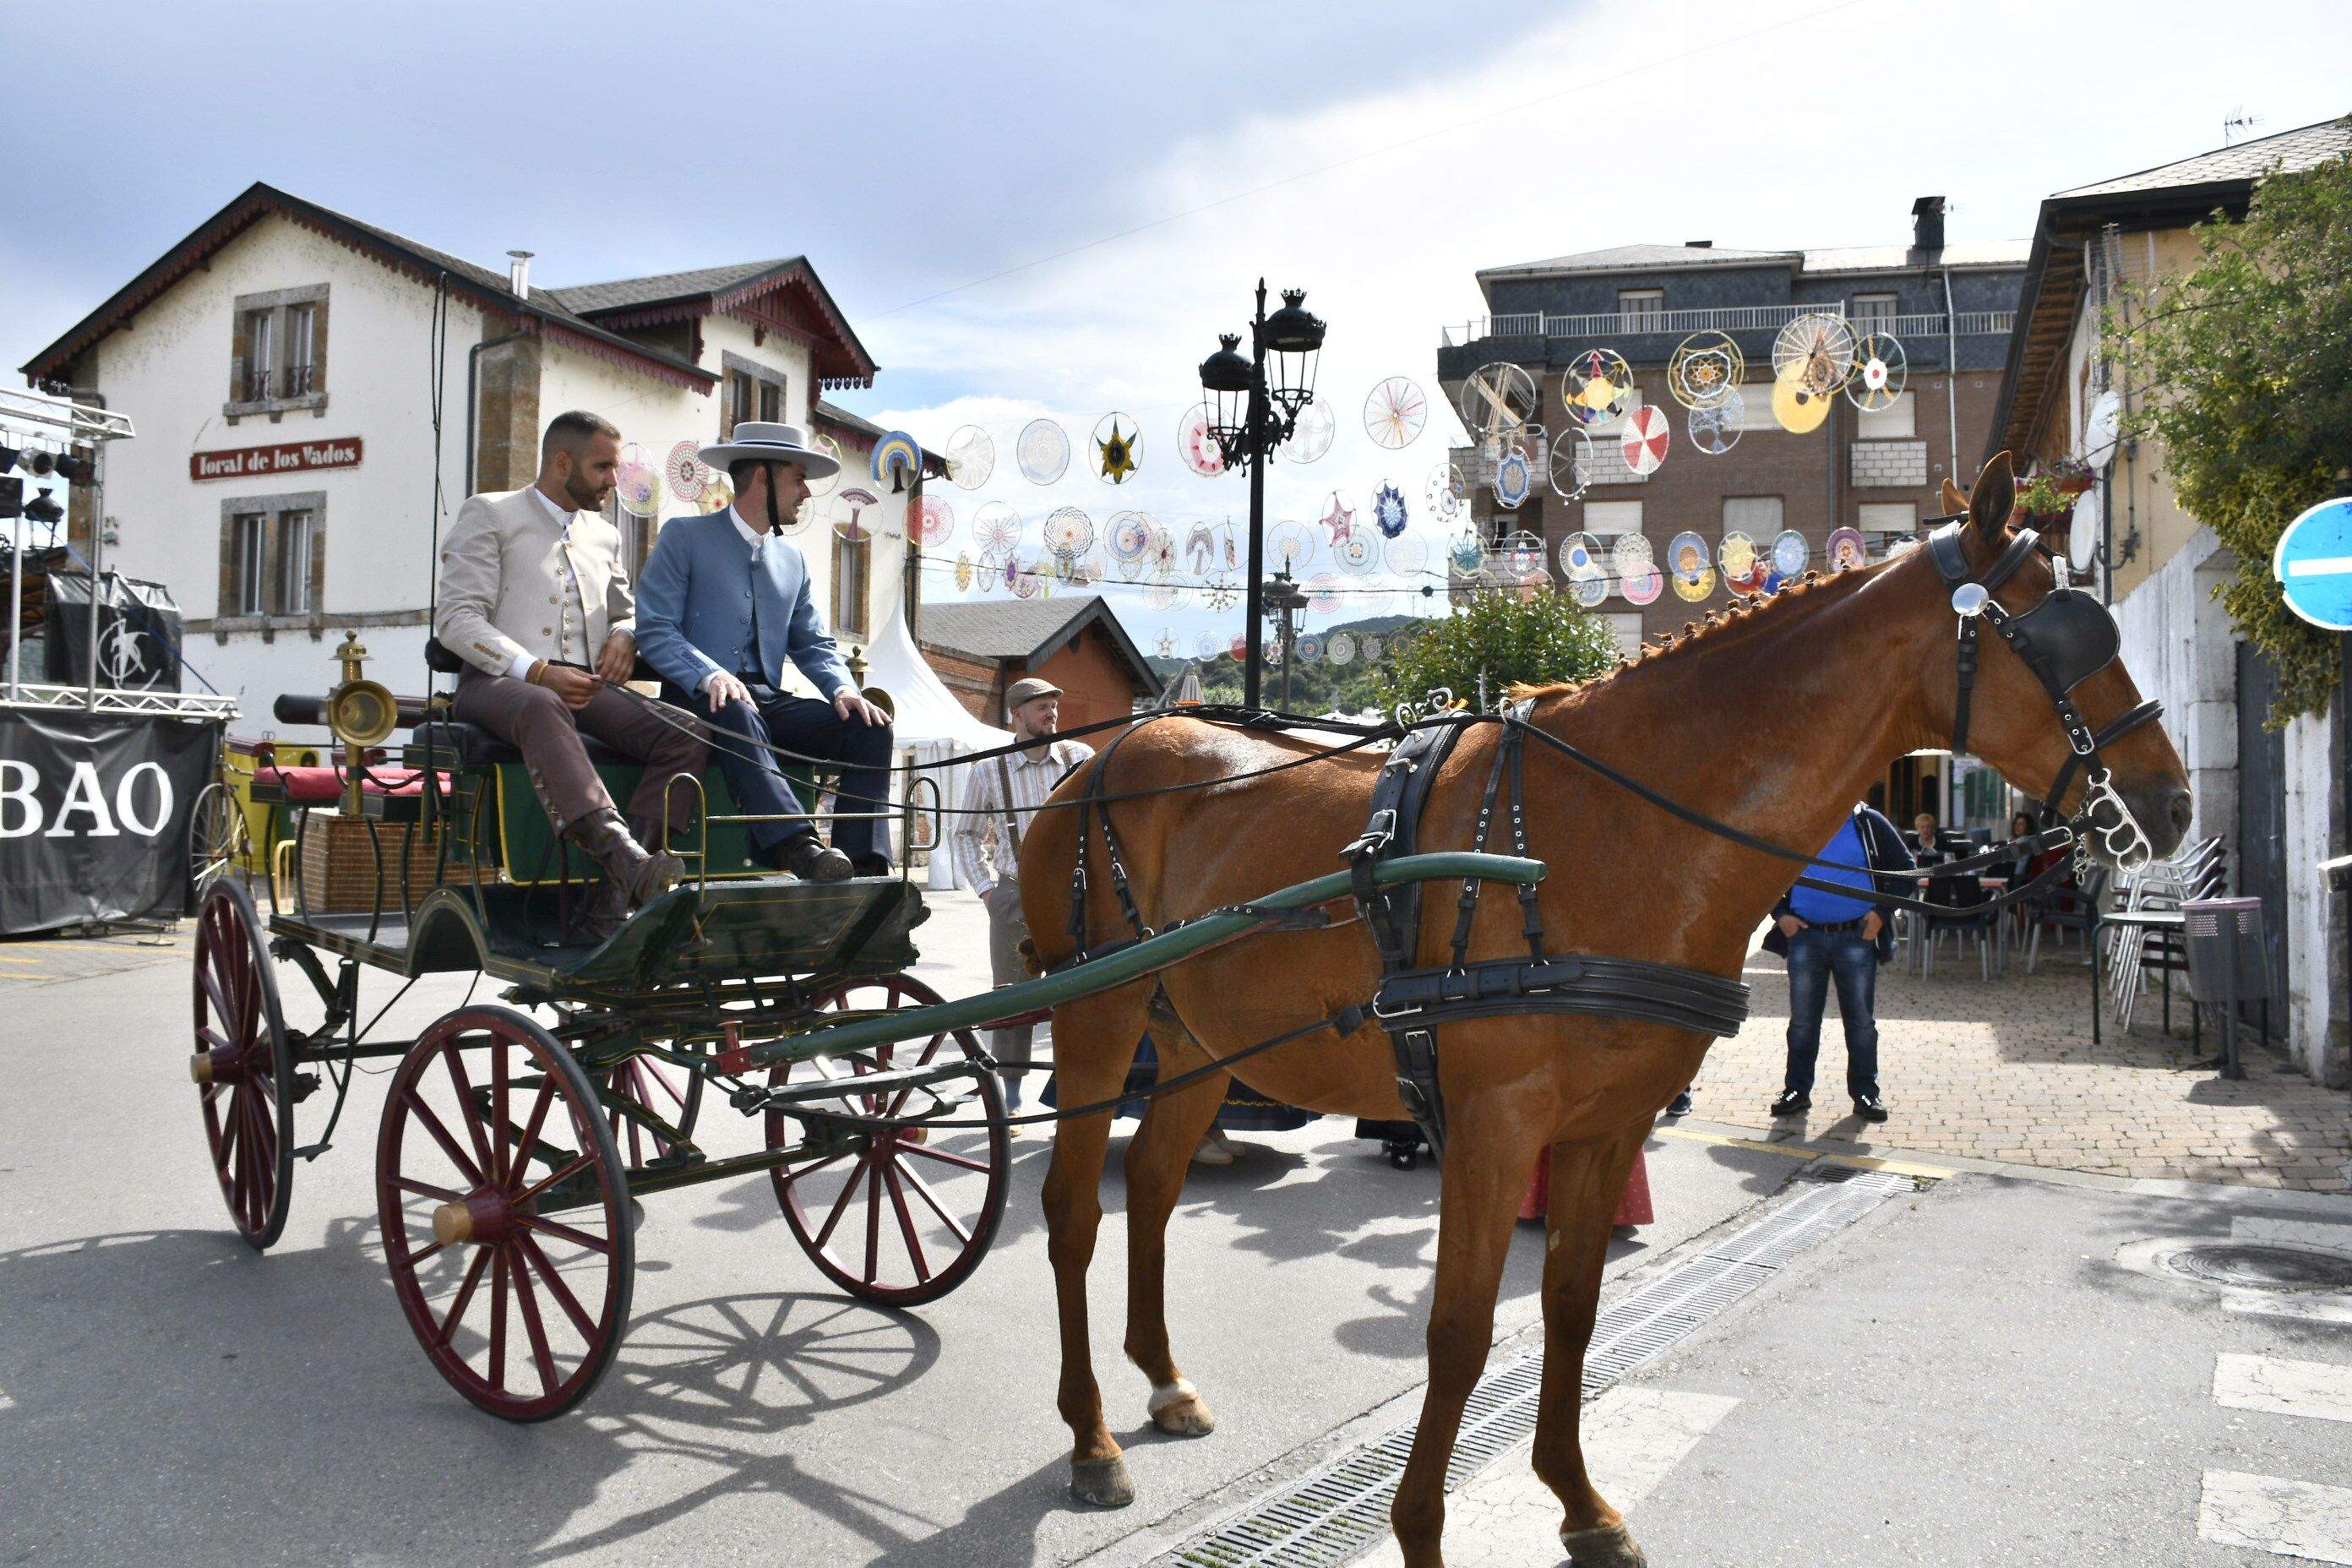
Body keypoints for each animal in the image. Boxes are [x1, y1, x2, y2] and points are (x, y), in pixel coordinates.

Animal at [1021, 455, 2191, 1568]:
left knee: (1155, 1187)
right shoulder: (1494, 1128)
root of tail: (1104, 757)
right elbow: (1460, 1329)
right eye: (2064, 634)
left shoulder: (1607, 1124)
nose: (2173, 799)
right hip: (1094, 1026)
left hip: (1194, 1041)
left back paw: (1162, 1379)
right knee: (1075, 1211)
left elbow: (1571, 1310)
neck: (1614, 822)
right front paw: (1421, 1530)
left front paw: (1579, 1501)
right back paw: (1090, 1437)